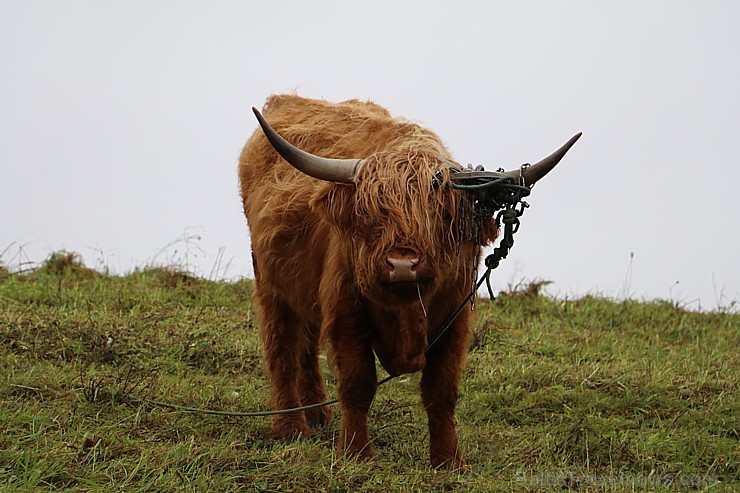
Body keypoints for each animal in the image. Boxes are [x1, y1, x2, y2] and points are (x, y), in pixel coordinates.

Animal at [240, 94, 580, 468]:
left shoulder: (454, 320)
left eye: (442, 215)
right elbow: (357, 385)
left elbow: (442, 391)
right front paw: (356, 454)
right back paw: (290, 427)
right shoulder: (347, 313)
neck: (405, 309)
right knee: (282, 348)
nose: (402, 265)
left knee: (307, 344)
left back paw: (317, 414)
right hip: (271, 284)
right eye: (370, 213)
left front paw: (449, 462)